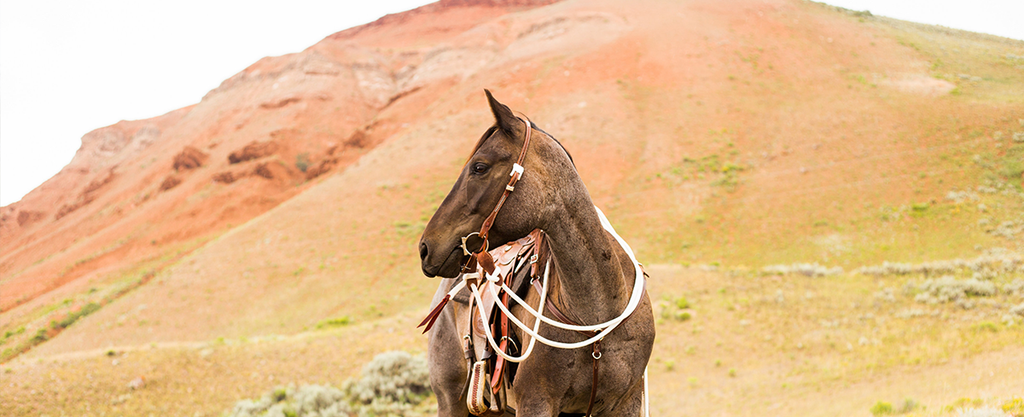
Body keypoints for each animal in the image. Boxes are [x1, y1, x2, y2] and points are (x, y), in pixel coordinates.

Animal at [417, 91, 651, 417]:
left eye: (479, 167)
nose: (425, 247)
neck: (597, 316)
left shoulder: (626, 402)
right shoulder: (536, 402)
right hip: (450, 400)